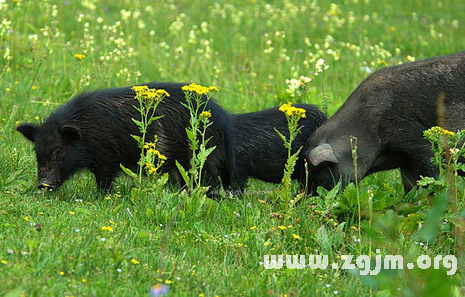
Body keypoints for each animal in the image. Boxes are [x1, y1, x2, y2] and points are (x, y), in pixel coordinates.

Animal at [17, 81, 236, 192]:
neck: (86, 132)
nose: (43, 185)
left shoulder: (107, 158)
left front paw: (103, 197)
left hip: (201, 156)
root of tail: (224, 121)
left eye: (58, 150)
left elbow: (104, 180)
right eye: (37, 153)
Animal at [304, 51, 464, 193]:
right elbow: (410, 189)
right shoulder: (405, 163)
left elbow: (429, 180)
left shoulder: (418, 144)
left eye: (316, 171)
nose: (306, 201)